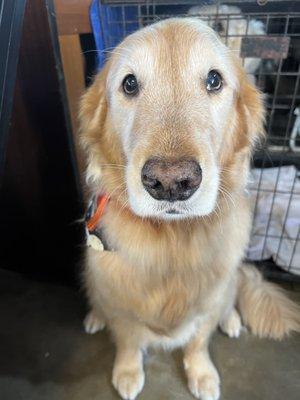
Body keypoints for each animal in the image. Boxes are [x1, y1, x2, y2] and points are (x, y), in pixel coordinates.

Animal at [79, 17, 300, 398]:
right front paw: (127, 371)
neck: (172, 242)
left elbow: (198, 340)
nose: (170, 182)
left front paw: (202, 373)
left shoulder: (209, 299)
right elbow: (127, 338)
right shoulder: (119, 295)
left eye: (214, 80)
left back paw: (232, 320)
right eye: (129, 83)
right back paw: (95, 316)